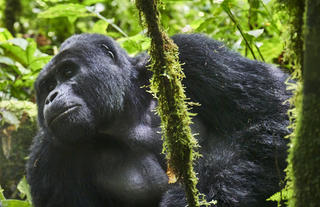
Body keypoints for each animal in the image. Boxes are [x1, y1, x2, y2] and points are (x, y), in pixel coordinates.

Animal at [26, 33, 290, 206]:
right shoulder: (49, 157)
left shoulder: (193, 53)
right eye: (47, 86)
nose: (51, 97)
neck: (127, 110)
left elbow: (274, 114)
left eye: (68, 71)